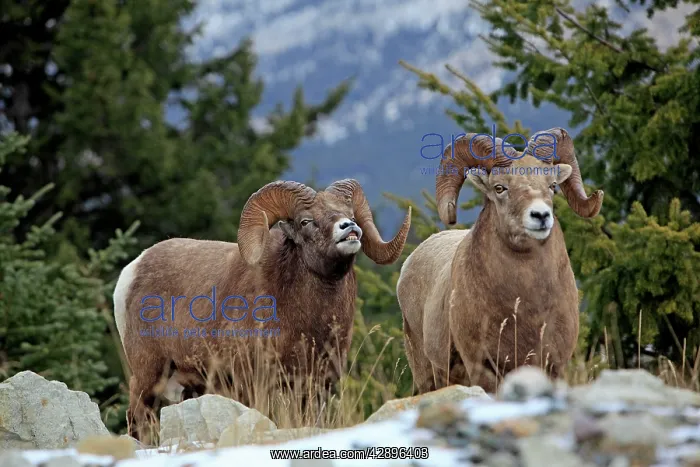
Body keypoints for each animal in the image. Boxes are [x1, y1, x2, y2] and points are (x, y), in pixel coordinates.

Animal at [113, 178, 411, 441]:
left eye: (349, 213)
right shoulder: (253, 382)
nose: (349, 227)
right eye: (306, 221)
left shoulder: (317, 384)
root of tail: (131, 272)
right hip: (148, 375)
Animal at [396, 128, 603, 394]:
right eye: (499, 188)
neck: (525, 305)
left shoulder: (553, 366)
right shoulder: (483, 368)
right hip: (426, 374)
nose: (540, 215)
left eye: (553, 186)